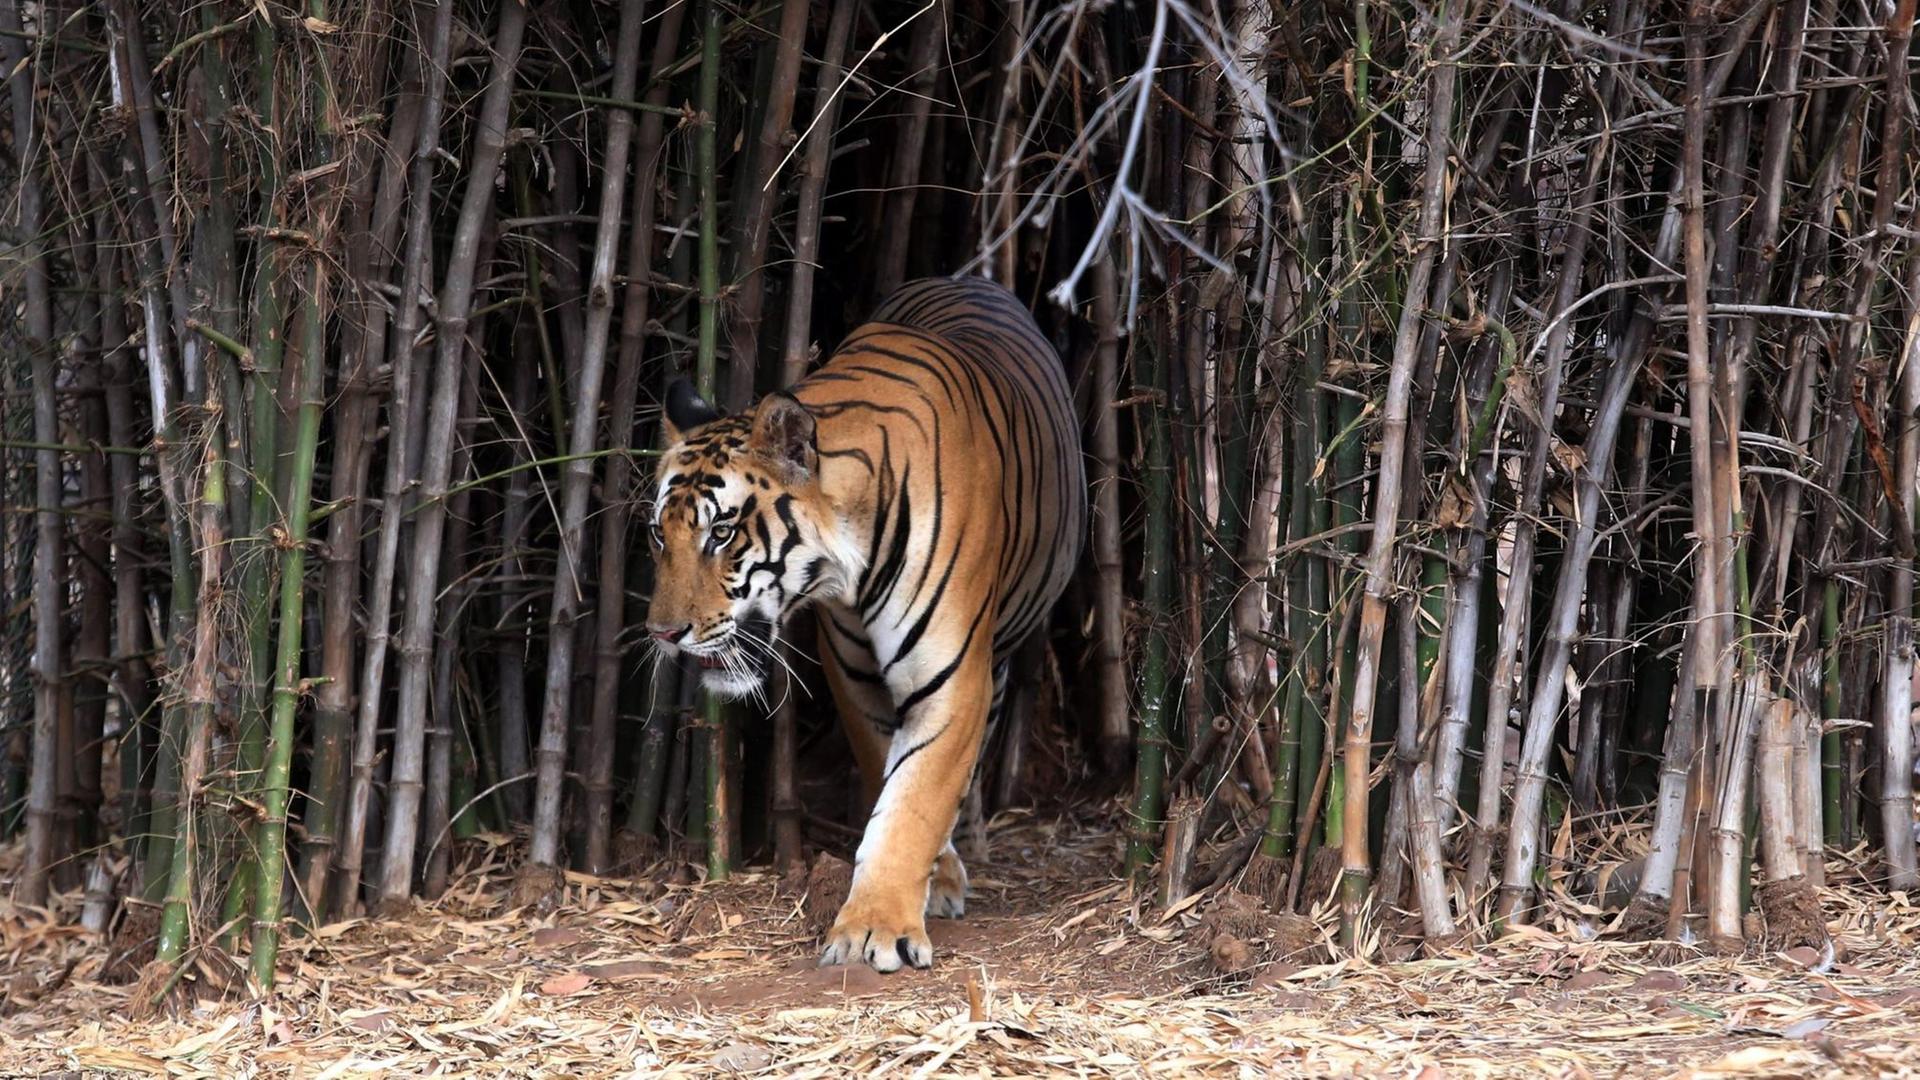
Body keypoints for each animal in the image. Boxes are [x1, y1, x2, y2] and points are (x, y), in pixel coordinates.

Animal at [645, 274, 1090, 968]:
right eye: (658, 534)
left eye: (721, 533)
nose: (662, 635)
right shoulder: (855, 677)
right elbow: (891, 772)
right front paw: (924, 885)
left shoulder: (952, 678)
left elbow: (916, 801)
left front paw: (875, 929)